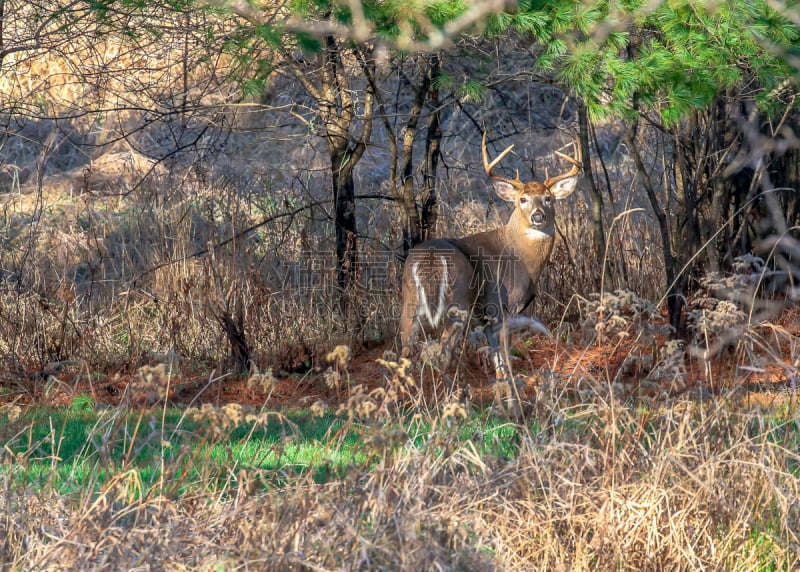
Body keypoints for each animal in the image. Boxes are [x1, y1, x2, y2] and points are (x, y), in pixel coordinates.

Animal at [400, 133, 580, 380]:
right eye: (523, 199)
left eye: (548, 198)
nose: (538, 216)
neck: (522, 258)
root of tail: (431, 257)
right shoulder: (503, 305)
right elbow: (505, 356)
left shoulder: (487, 319)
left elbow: (498, 362)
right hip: (459, 300)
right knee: (443, 352)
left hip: (410, 298)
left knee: (405, 350)